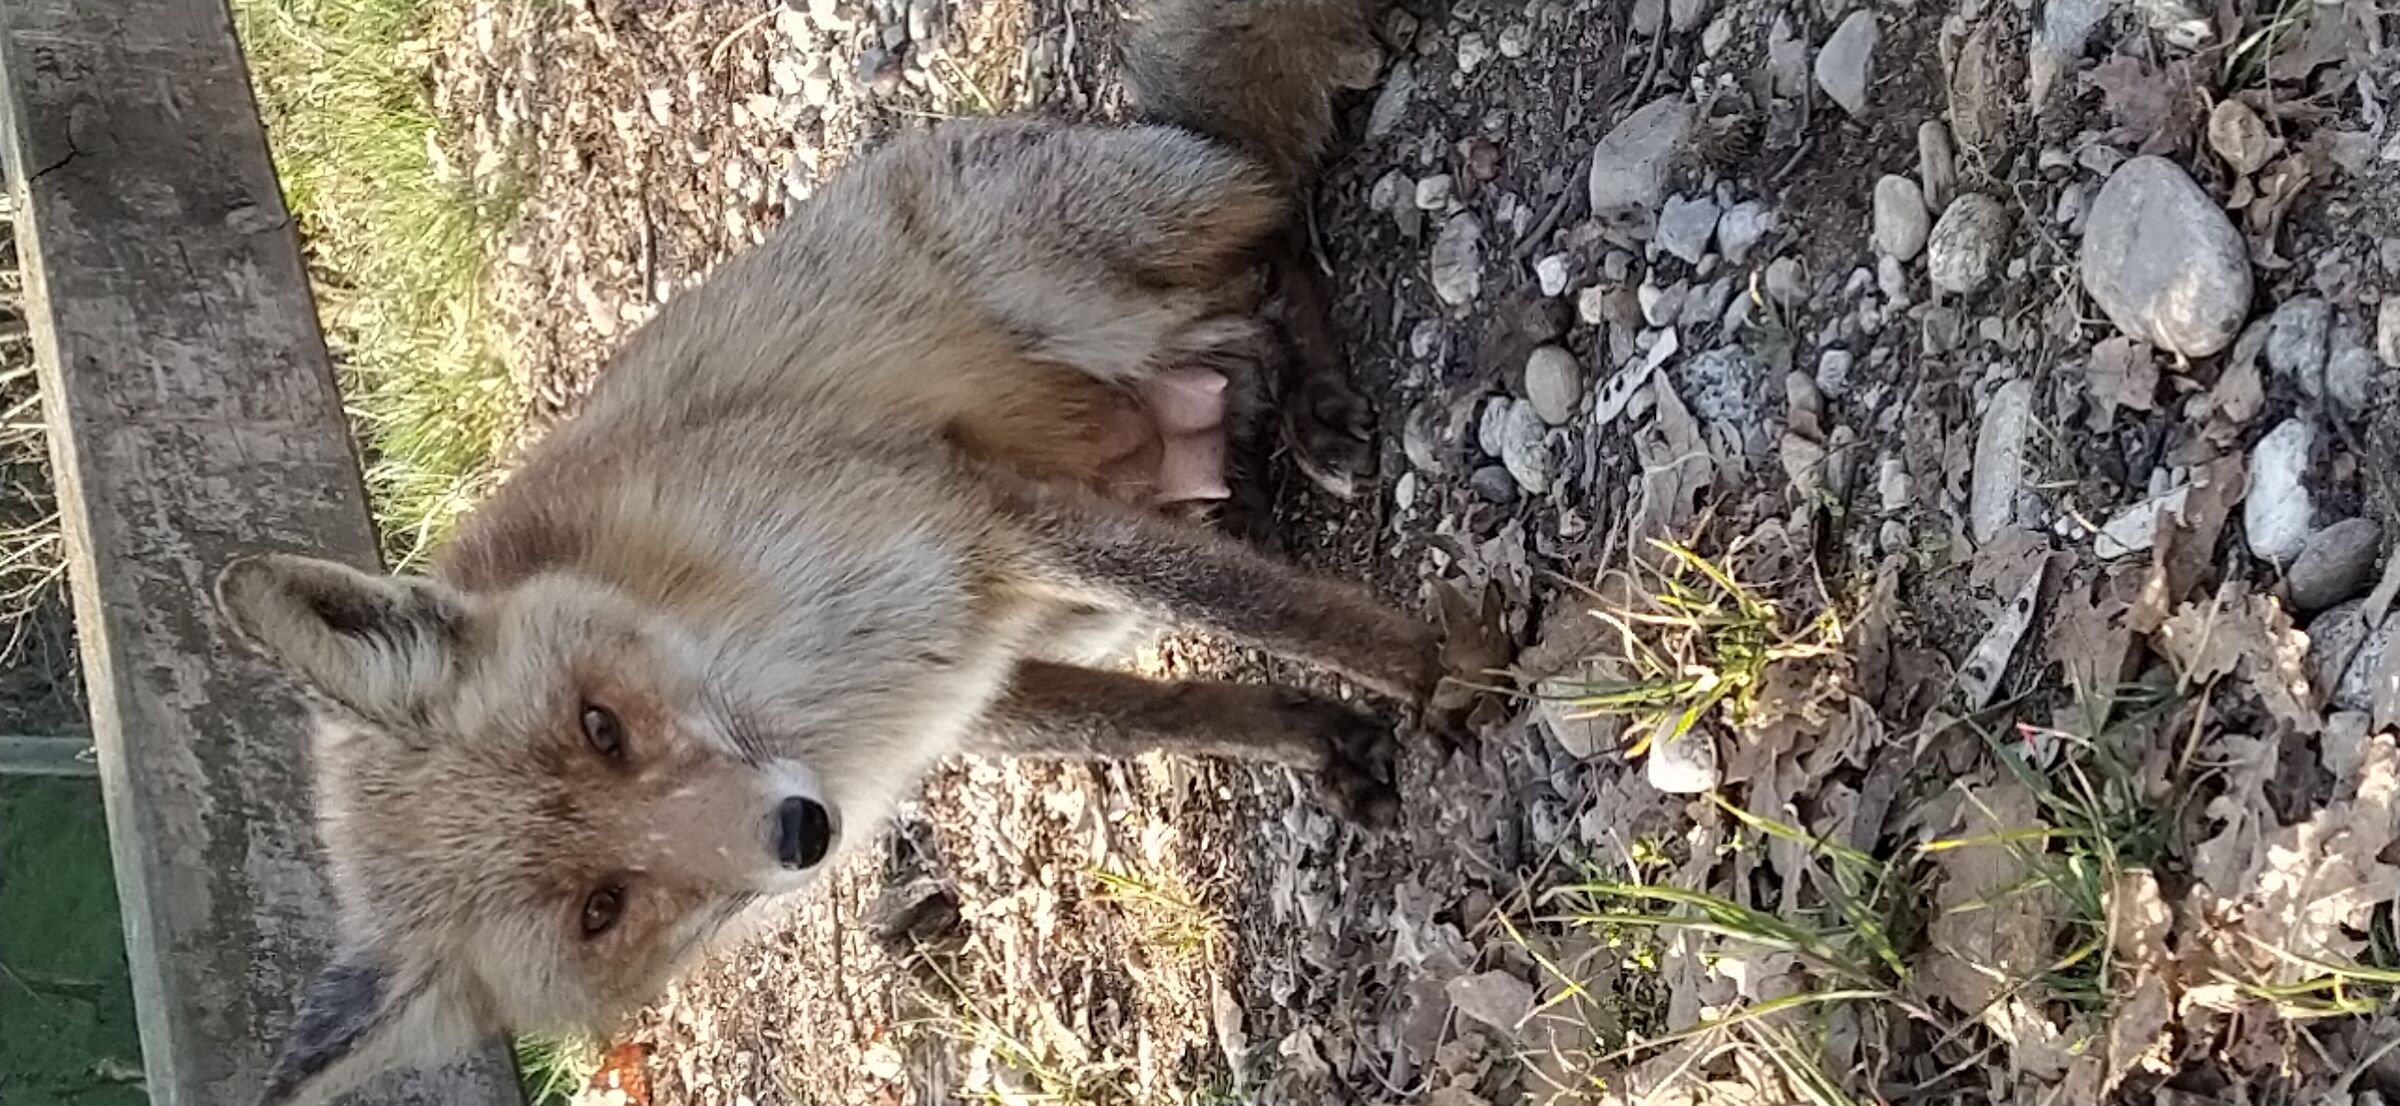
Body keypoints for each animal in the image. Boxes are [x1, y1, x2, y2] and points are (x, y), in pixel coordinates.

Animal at [212, 1, 1439, 1102]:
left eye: (601, 726)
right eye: (603, 907)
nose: (801, 828)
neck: (825, 700)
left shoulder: (974, 514)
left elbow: (1280, 615)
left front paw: (1450, 671)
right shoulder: (987, 686)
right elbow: (1191, 712)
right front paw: (1322, 734)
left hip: (1068, 279)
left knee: (1277, 225)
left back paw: (1320, 404)